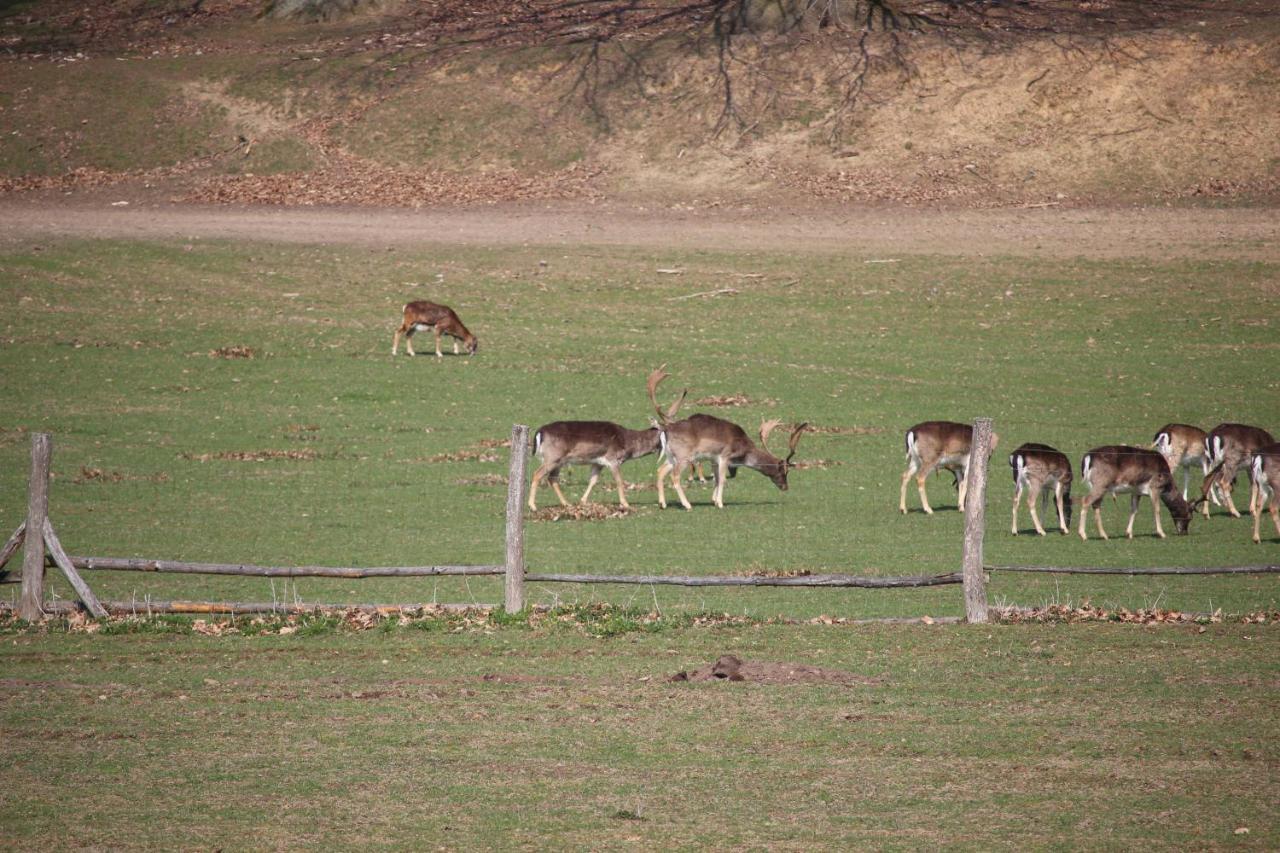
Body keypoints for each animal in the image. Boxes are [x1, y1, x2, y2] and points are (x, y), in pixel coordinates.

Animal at [529, 417, 665, 504]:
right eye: (666, 430)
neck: (628, 444)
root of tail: (540, 432)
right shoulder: (613, 459)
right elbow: (619, 480)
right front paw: (625, 504)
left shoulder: (598, 462)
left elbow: (593, 480)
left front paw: (583, 501)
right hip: (552, 457)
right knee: (537, 474)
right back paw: (532, 506)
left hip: (559, 461)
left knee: (552, 478)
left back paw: (567, 503)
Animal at [645, 363, 803, 507]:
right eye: (784, 471)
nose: (785, 487)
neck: (743, 451)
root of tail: (666, 428)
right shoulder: (724, 456)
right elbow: (722, 479)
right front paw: (720, 503)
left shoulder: (714, 459)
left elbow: (716, 479)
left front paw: (714, 500)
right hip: (684, 456)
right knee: (675, 476)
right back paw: (687, 505)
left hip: (671, 456)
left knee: (660, 470)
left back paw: (662, 504)